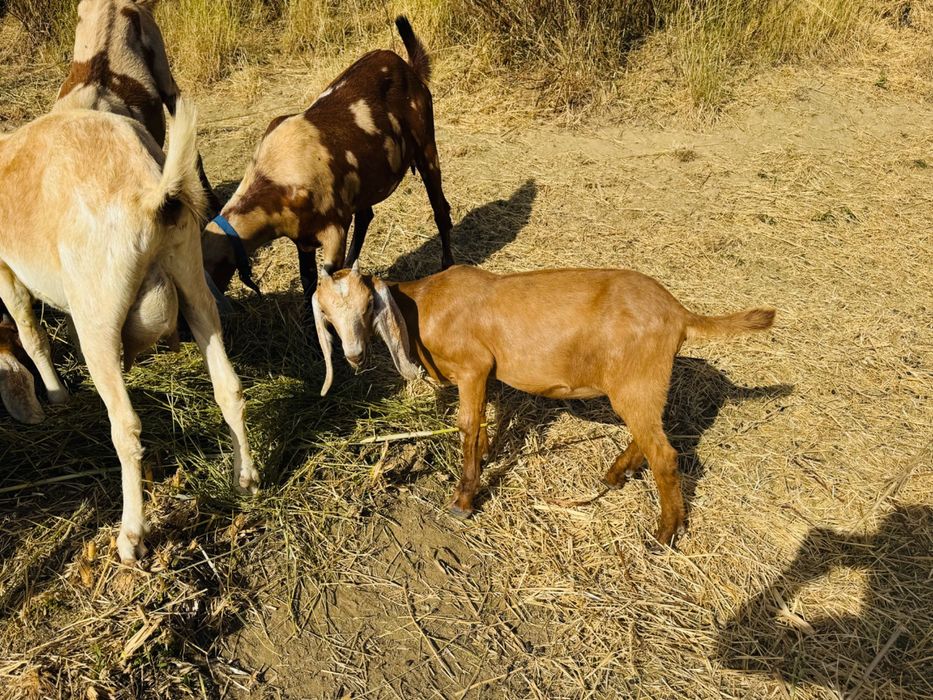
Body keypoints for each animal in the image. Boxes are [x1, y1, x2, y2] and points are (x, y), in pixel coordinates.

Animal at [0, 99, 258, 562]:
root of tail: (150, 193)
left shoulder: (6, 271)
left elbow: (31, 334)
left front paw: (56, 395)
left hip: (99, 317)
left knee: (127, 428)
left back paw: (131, 536)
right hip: (191, 279)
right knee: (229, 388)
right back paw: (245, 479)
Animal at [201, 16, 453, 309]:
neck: (273, 178)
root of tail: (408, 67)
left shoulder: (334, 231)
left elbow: (327, 279)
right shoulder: (303, 238)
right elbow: (308, 281)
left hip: (427, 148)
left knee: (440, 209)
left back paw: (447, 265)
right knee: (366, 215)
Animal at [312, 264, 776, 546]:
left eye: (366, 305)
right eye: (328, 316)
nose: (353, 356)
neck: (423, 303)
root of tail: (680, 314)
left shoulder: (473, 366)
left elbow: (467, 424)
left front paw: (463, 501)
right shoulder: (484, 375)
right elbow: (483, 422)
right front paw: (486, 456)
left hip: (637, 380)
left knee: (665, 453)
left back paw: (665, 534)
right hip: (641, 386)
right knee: (649, 436)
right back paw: (616, 475)